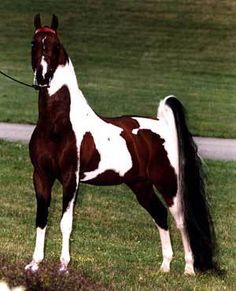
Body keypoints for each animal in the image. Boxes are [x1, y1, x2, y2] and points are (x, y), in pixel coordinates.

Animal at [24, 14, 217, 276]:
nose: (42, 78)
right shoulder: (41, 176)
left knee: (181, 220)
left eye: (56, 45)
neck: (57, 126)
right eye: (34, 44)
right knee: (160, 215)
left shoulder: (70, 179)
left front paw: (63, 266)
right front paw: (35, 264)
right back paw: (165, 266)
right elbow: (42, 218)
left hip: (169, 186)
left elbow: (66, 223)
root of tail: (164, 127)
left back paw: (188, 269)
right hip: (140, 185)